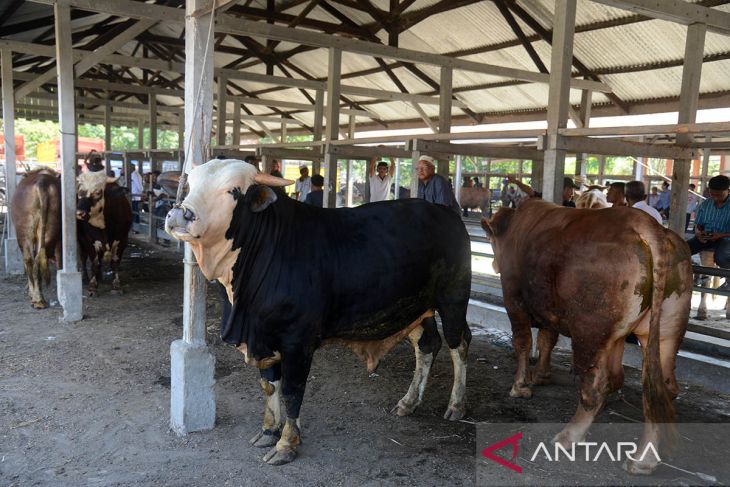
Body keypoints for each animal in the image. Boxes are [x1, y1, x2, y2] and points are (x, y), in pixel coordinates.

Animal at [9, 170, 62, 308]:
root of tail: (42, 181)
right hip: (49, 229)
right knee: (37, 258)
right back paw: (39, 299)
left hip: (25, 231)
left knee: (30, 259)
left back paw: (37, 299)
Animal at [165, 159, 472, 466]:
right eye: (190, 185)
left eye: (233, 190)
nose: (180, 214)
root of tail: (445, 212)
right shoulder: (263, 336)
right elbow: (269, 385)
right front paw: (268, 431)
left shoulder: (297, 341)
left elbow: (292, 391)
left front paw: (287, 443)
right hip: (417, 308)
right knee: (427, 344)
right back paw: (409, 402)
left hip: (453, 301)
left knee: (459, 343)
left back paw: (457, 404)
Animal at [480, 199, 692, 476]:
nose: (494, 265)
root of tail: (649, 226)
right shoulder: (551, 310)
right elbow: (547, 339)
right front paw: (541, 375)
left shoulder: (514, 301)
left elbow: (524, 342)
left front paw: (520, 386)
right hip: (664, 331)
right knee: (657, 388)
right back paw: (643, 459)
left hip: (589, 331)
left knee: (595, 386)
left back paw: (568, 437)